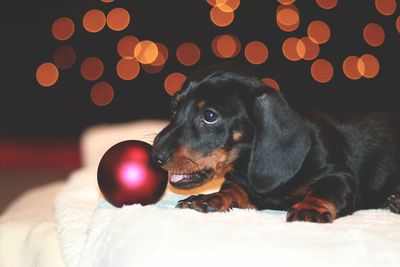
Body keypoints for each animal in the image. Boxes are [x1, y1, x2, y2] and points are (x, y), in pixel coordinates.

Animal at [152, 65, 400, 224]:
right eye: (174, 107)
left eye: (210, 116)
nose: (155, 157)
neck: (246, 163)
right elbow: (233, 188)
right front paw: (210, 198)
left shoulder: (340, 175)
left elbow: (326, 188)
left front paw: (310, 206)